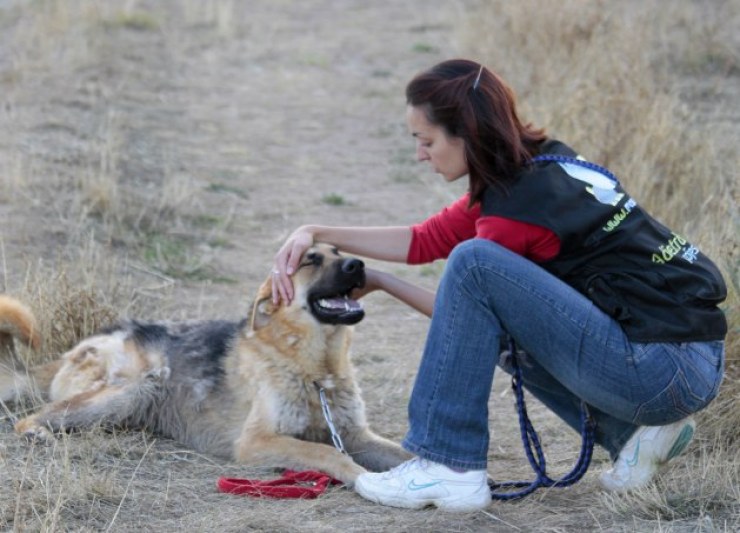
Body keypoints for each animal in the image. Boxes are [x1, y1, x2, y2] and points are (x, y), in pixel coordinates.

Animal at [0, 245, 410, 482]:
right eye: (311, 260)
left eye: (338, 251)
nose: (358, 264)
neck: (315, 370)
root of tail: (81, 344)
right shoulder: (256, 442)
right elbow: (325, 452)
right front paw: (362, 478)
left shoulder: (356, 435)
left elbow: (407, 454)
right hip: (132, 389)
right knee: (32, 416)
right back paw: (36, 433)